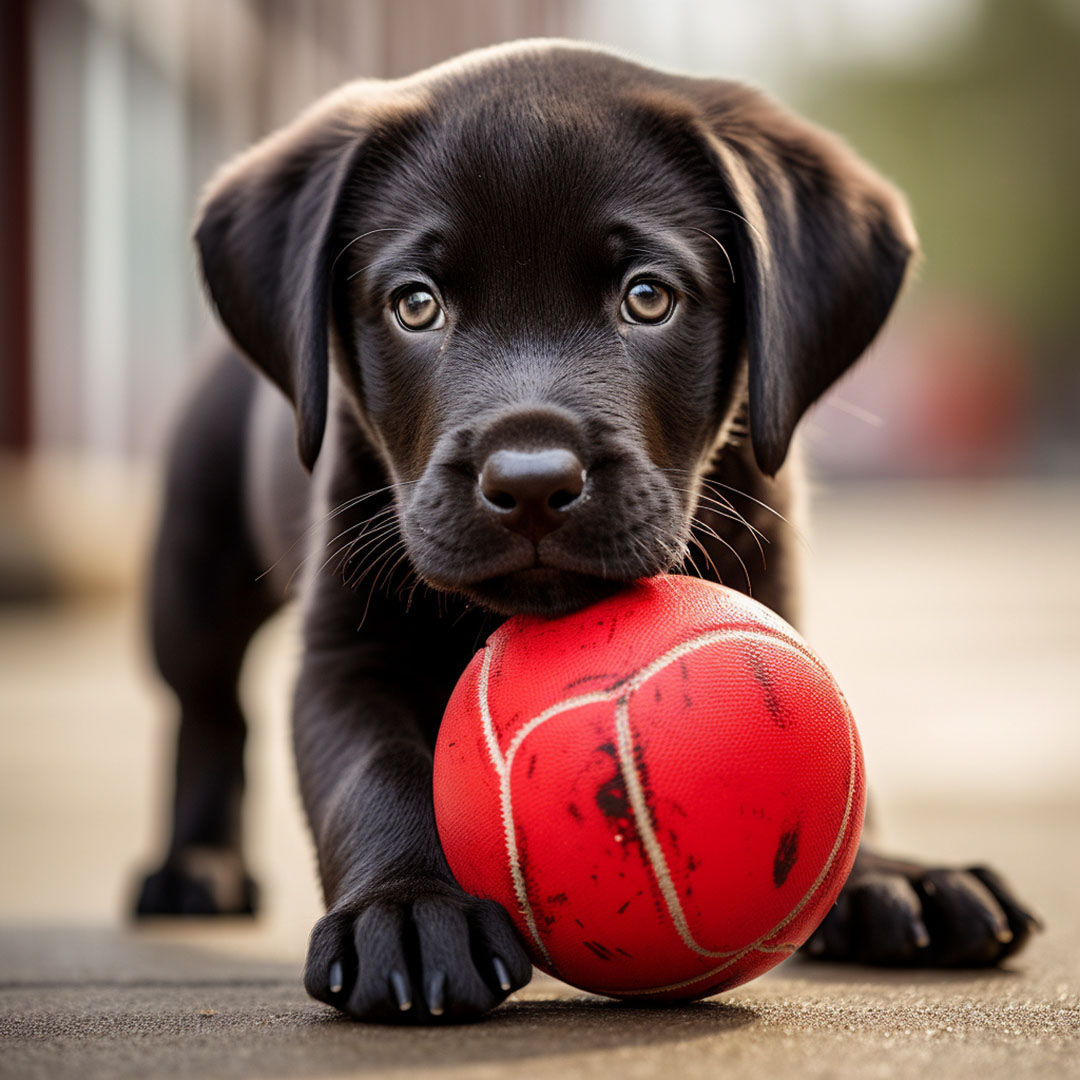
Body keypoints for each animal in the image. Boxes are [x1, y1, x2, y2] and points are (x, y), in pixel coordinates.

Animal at [135, 39, 1036, 1019]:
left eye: (648, 298)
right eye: (416, 304)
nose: (531, 483)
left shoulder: (774, 594)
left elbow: (836, 746)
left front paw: (889, 875)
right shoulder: (345, 649)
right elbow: (371, 773)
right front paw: (409, 910)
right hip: (192, 577)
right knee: (209, 711)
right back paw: (195, 869)